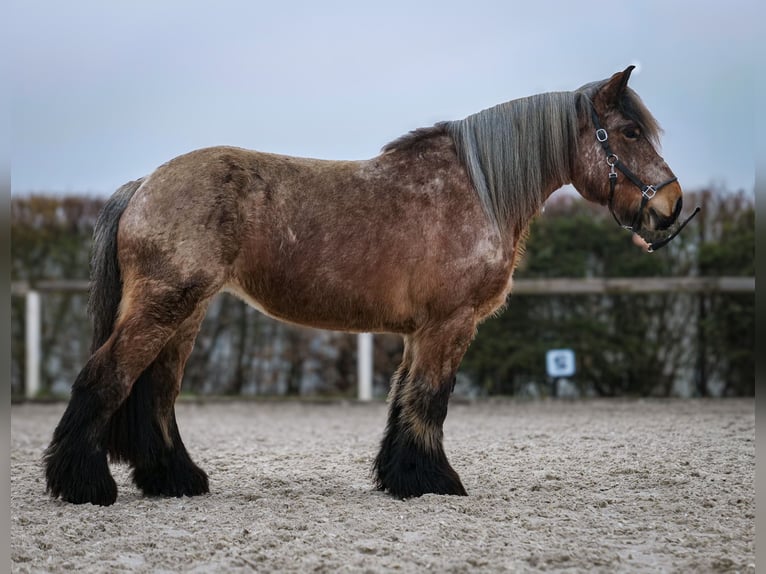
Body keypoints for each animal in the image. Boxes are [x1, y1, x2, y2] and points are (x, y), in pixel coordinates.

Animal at [42, 68, 692, 508]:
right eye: (628, 131)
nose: (670, 205)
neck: (475, 189)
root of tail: (145, 183)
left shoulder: (419, 331)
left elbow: (403, 402)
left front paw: (401, 478)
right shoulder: (451, 323)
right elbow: (431, 399)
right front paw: (435, 483)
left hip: (188, 313)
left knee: (157, 394)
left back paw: (175, 481)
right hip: (164, 306)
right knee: (106, 378)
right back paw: (84, 484)